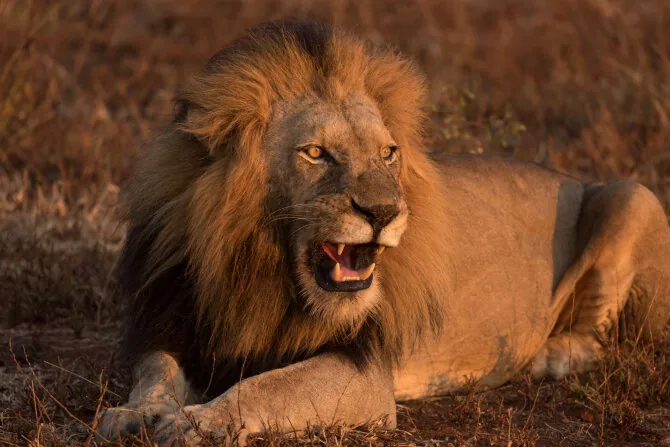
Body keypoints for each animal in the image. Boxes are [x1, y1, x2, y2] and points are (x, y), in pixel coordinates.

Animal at [97, 21, 670, 444]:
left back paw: (553, 354)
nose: (384, 212)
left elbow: (268, 387)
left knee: (603, 336)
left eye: (388, 153)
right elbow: (157, 370)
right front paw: (135, 413)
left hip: (632, 194)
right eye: (316, 153)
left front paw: (197, 422)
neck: (253, 265)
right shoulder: (173, 318)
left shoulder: (366, 373)